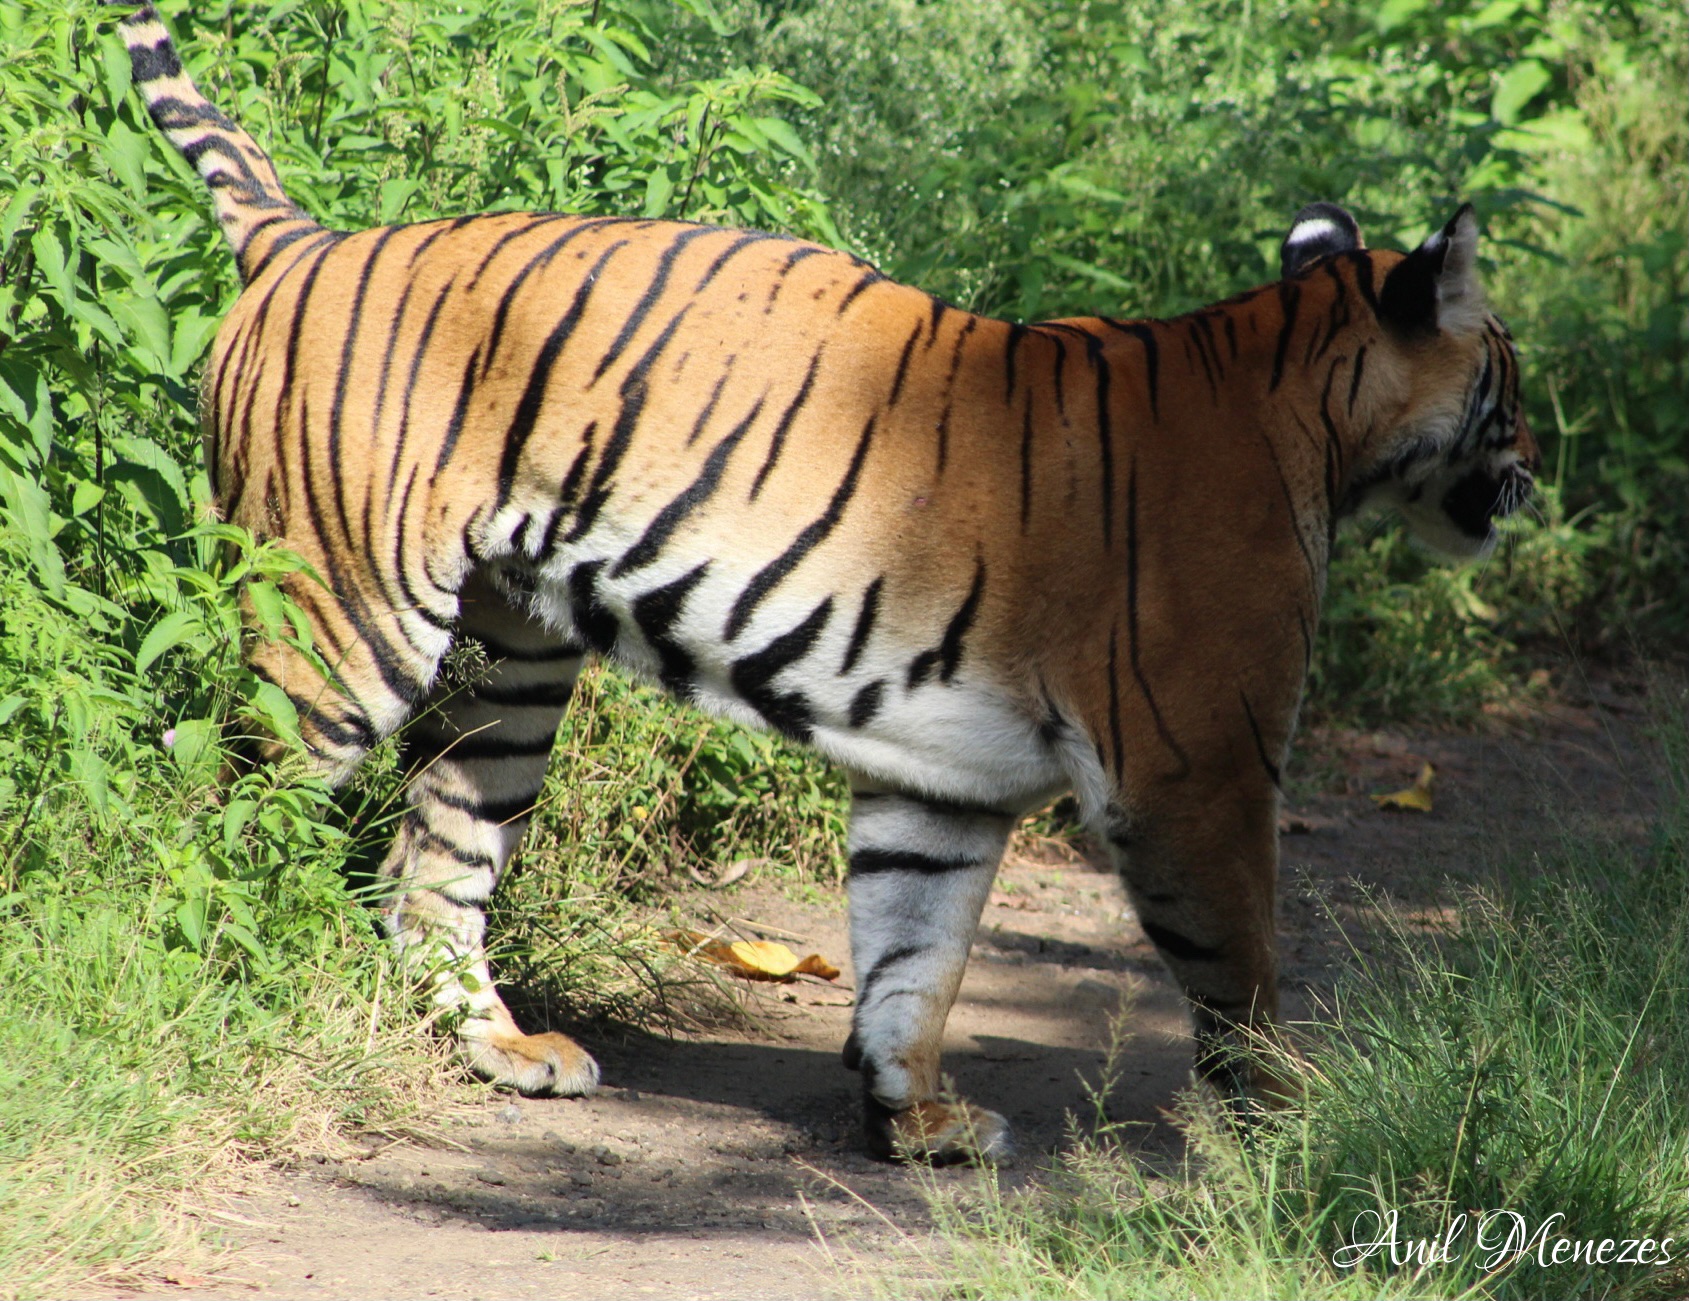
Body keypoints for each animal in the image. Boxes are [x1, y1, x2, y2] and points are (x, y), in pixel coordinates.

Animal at [111, 3, 1537, 1161]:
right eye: (1511, 377)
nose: (1535, 462)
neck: (1311, 407)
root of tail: (300, 242)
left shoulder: (942, 778)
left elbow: (916, 947)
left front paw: (918, 1120)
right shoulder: (1201, 766)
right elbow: (1240, 964)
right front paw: (1299, 1127)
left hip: (514, 669)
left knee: (435, 855)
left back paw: (505, 1052)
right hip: (343, 623)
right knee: (225, 797)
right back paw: (228, 976)